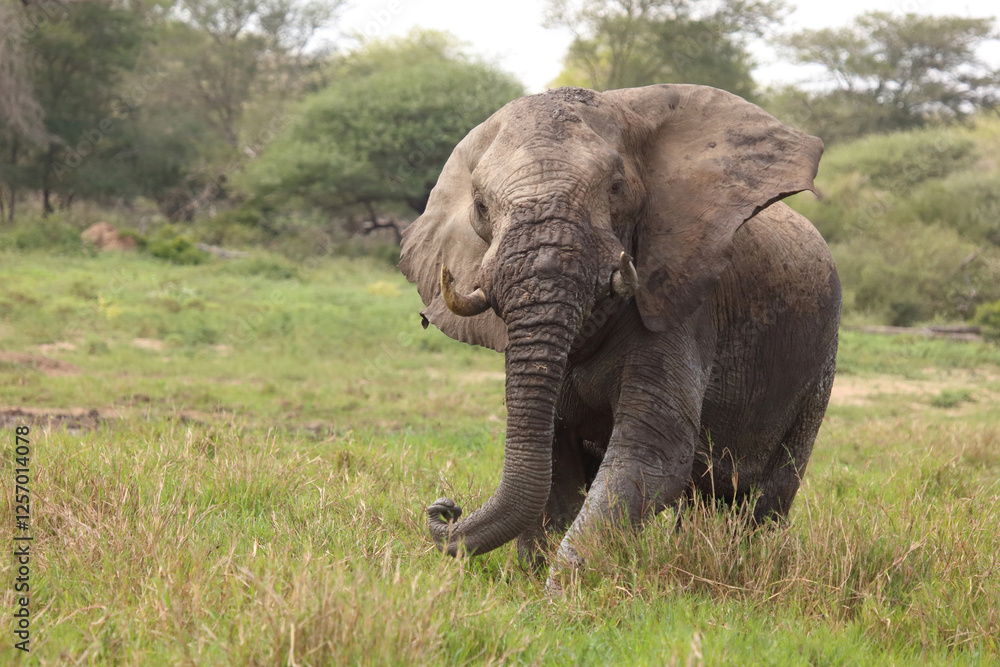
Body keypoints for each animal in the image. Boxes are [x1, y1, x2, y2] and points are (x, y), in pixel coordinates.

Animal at [398, 84, 840, 586]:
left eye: (615, 187)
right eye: (479, 206)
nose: (443, 507)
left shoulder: (681, 305)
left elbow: (652, 457)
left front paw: (562, 591)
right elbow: (555, 459)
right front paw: (537, 579)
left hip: (818, 365)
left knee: (765, 498)